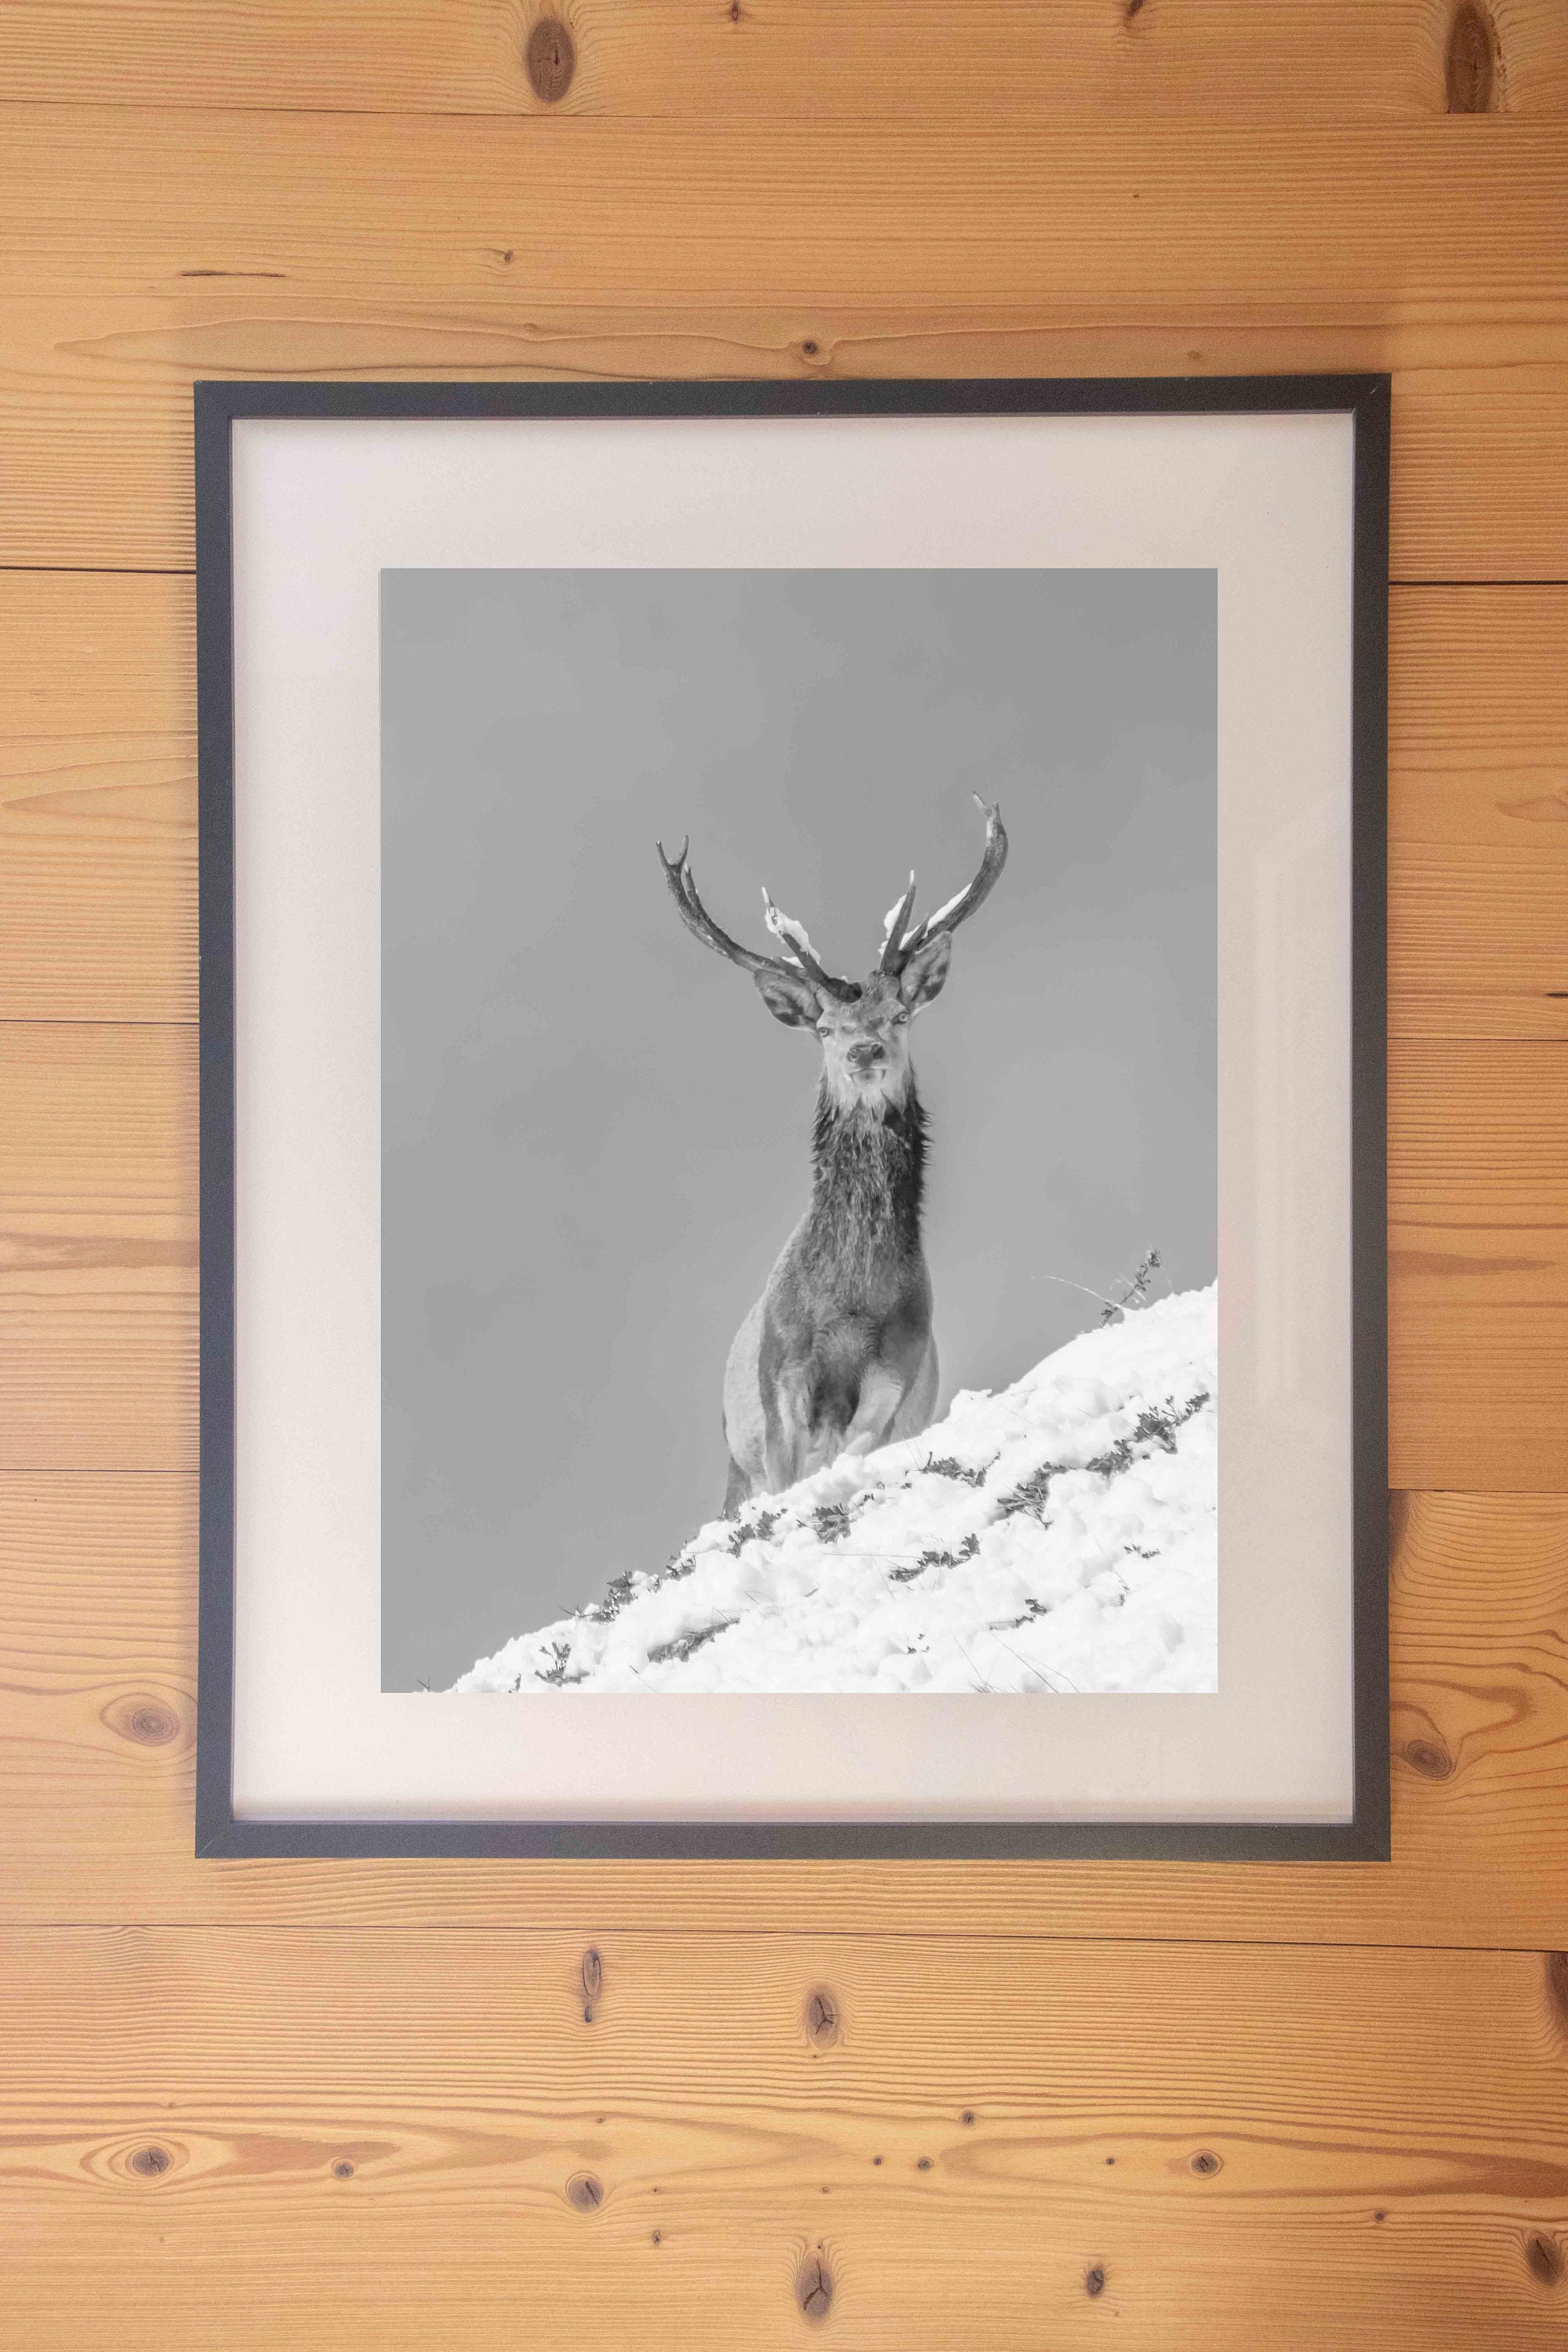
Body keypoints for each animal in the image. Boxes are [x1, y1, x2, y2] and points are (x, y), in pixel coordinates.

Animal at [657, 797, 1009, 1513]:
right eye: (823, 1028)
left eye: (900, 1014)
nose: (863, 1051)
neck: (848, 1301)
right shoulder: (780, 1376)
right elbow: (789, 1471)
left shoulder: (896, 1370)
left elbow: (857, 1446)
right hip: (734, 1463)